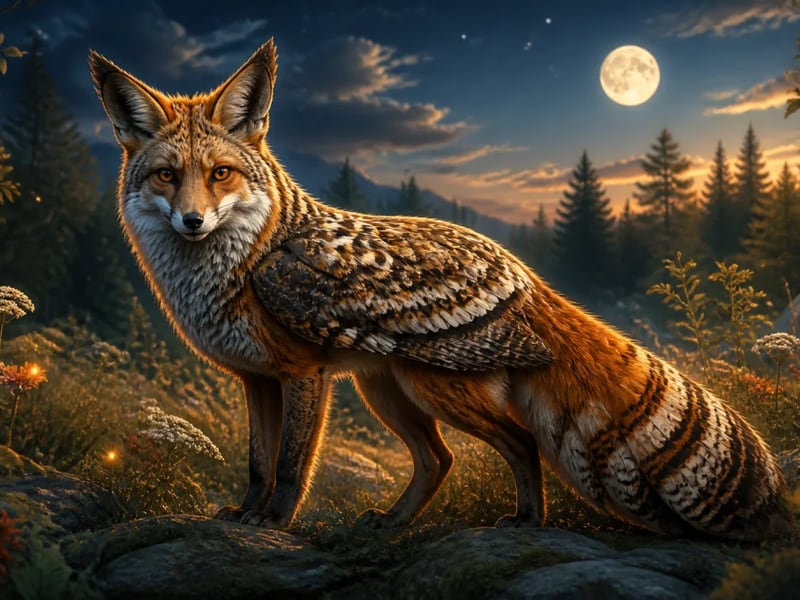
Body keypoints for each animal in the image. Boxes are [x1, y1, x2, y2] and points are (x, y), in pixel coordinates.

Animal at [88, 39, 793, 540]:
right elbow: (258, 463)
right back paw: (397, 525)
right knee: (439, 461)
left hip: (431, 387)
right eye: (167, 175)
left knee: (519, 442)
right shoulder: (255, 378)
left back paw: (527, 522)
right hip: (388, 391)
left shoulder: (302, 374)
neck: (244, 264)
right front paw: (244, 514)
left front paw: (274, 524)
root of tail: (520, 274)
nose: (192, 221)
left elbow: (289, 466)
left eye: (221, 174)